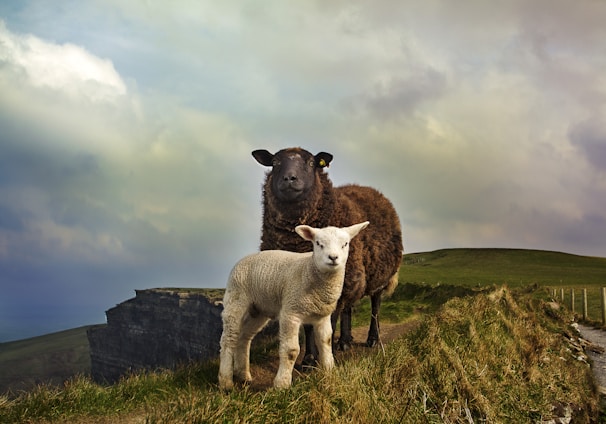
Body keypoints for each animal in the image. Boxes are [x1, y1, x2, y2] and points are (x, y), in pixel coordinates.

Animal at [218, 220, 370, 390]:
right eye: (318, 243)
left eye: (345, 244)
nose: (333, 257)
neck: (309, 269)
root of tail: (243, 259)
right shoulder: (291, 312)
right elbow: (291, 350)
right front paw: (282, 384)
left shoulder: (322, 316)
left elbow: (326, 342)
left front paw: (329, 372)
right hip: (236, 299)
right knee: (229, 339)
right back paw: (226, 382)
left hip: (258, 310)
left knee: (244, 338)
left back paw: (243, 375)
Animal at [252, 146, 404, 362]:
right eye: (275, 162)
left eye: (311, 163)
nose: (289, 178)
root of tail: (371, 190)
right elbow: (309, 326)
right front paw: (308, 359)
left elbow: (328, 324)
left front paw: (323, 358)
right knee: (349, 307)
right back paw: (345, 341)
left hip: (378, 275)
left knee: (375, 306)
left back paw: (372, 339)